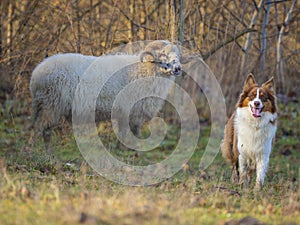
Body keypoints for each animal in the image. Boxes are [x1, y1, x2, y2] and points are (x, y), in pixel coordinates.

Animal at [29, 40, 182, 151]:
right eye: (163, 54)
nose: (178, 68)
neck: (145, 70)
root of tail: (37, 74)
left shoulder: (126, 112)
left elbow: (125, 132)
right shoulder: (131, 110)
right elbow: (132, 132)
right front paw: (132, 151)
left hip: (44, 104)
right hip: (52, 104)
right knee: (43, 129)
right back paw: (40, 151)